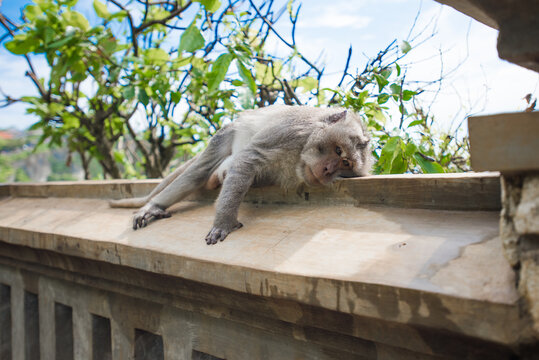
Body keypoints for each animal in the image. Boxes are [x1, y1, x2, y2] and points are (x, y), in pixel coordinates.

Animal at [109, 104, 372, 245]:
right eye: (338, 150)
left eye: (345, 164)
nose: (328, 171)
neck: (302, 150)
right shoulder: (291, 132)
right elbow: (248, 159)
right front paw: (224, 222)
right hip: (226, 133)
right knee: (198, 171)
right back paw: (154, 205)